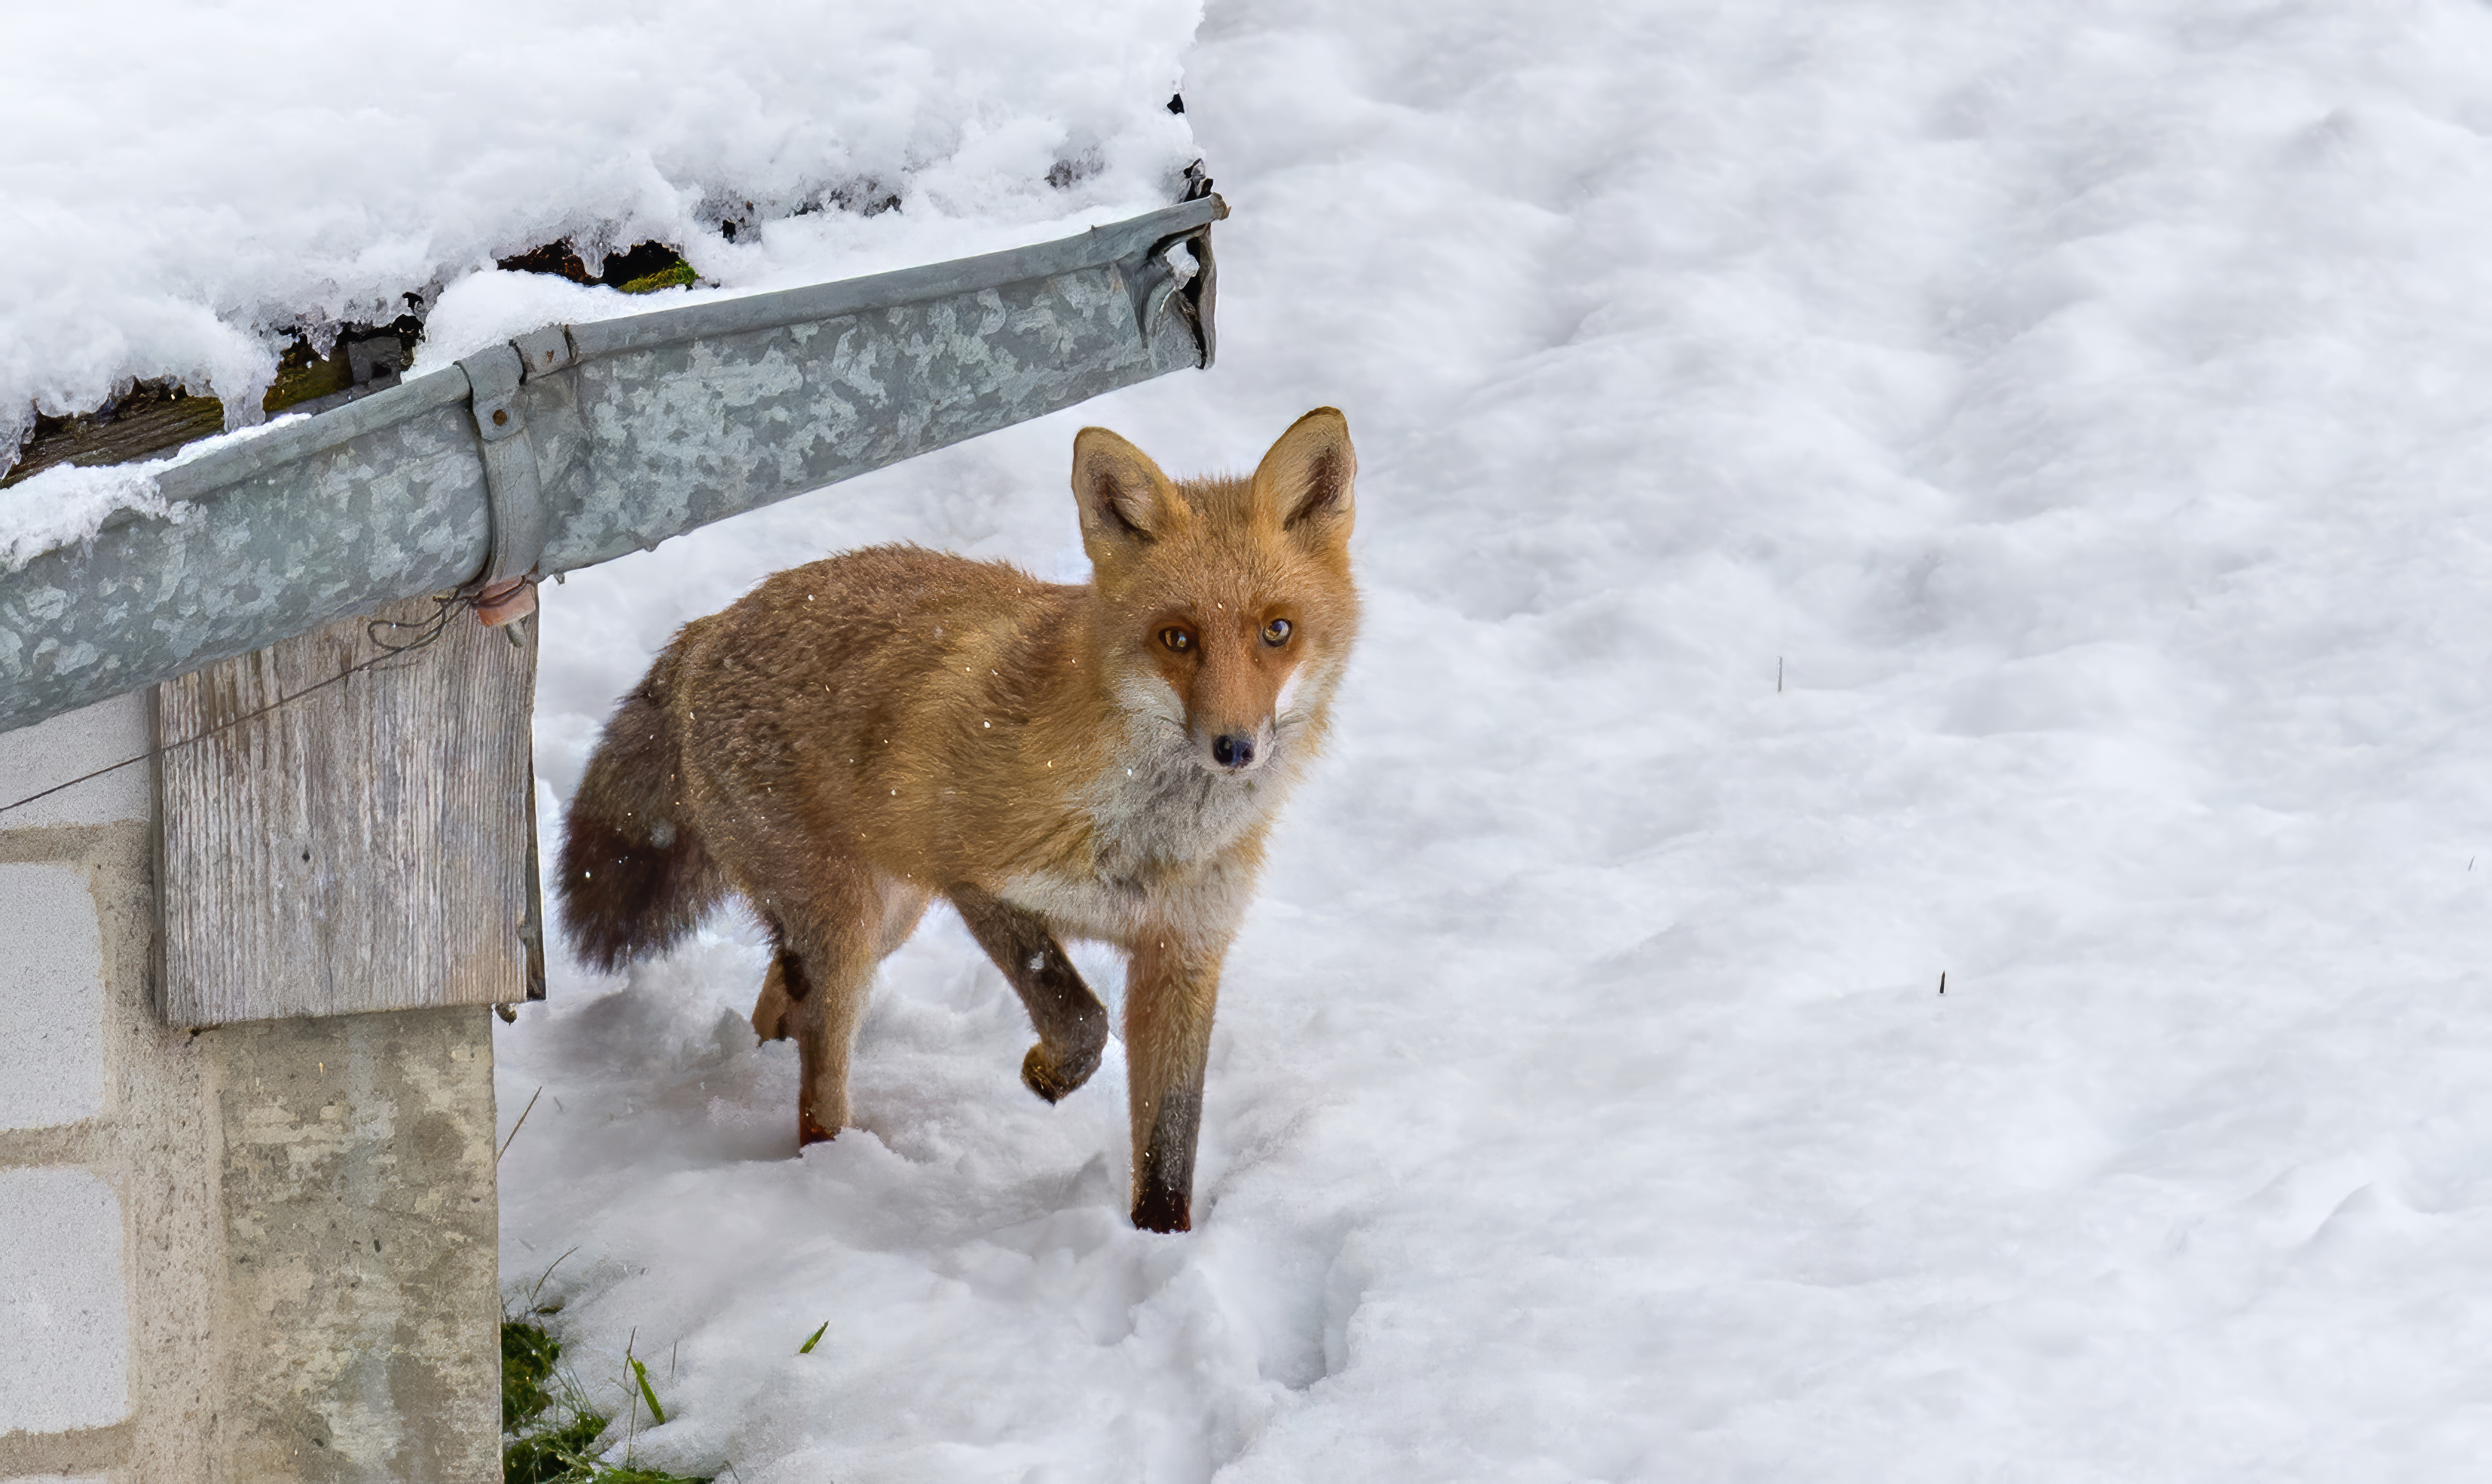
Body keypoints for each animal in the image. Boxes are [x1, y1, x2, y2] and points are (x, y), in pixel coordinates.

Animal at [556, 409, 1358, 1232]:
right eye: (1176, 638)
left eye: (1276, 631)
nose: (1235, 748)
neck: (1152, 839)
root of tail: (712, 624)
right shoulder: (976, 879)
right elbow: (1078, 1015)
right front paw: (1050, 1076)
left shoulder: (1185, 951)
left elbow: (1170, 1147)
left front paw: (1159, 1243)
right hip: (847, 929)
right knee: (819, 1082)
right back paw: (830, 1174)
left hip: (887, 917)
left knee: (778, 1006)